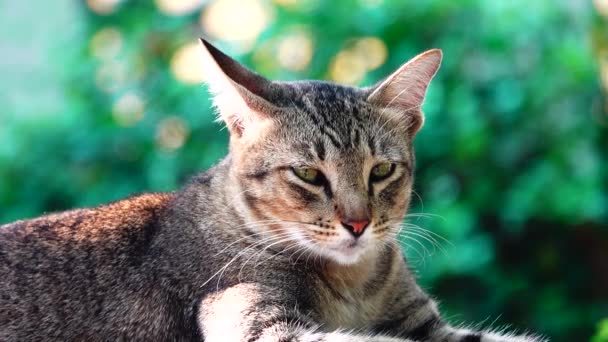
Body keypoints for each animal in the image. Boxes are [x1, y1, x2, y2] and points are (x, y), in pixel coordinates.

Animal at [0, 38, 540, 340]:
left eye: (382, 171)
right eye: (309, 175)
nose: (358, 224)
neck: (353, 283)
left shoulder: (425, 325)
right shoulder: (253, 320)